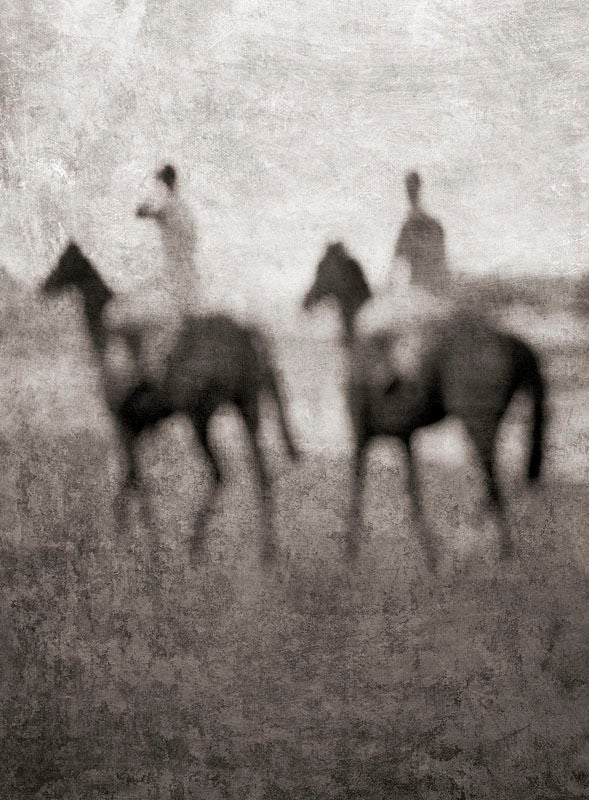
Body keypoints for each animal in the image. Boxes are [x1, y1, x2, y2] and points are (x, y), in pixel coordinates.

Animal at [41, 241, 298, 560]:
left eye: (64, 262)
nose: (44, 285)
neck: (107, 338)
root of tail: (245, 332)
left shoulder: (123, 423)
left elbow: (134, 478)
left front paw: (134, 542)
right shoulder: (141, 427)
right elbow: (132, 479)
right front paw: (135, 538)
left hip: (200, 416)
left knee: (219, 473)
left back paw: (195, 548)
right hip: (246, 409)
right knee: (260, 473)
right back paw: (264, 553)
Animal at [304, 241, 548, 572]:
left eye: (321, 268)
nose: (306, 300)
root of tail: (505, 338)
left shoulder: (361, 436)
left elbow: (357, 490)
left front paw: (349, 554)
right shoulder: (405, 439)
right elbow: (414, 493)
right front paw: (429, 555)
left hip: (478, 426)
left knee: (492, 484)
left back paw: (492, 550)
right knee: (490, 488)